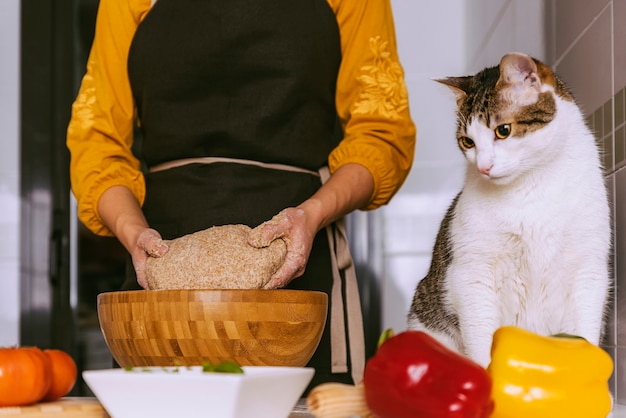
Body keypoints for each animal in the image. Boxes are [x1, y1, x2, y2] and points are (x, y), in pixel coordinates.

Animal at [404, 51, 608, 366]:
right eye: (468, 142)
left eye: (503, 131)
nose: (483, 167)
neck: (531, 187)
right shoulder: (473, 274)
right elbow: (481, 341)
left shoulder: (589, 267)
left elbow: (585, 328)